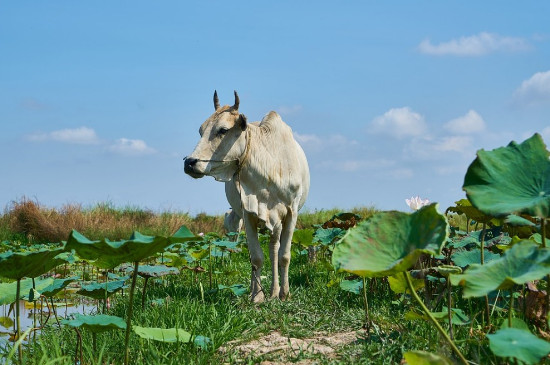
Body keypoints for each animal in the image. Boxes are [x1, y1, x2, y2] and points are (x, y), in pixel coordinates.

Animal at [184, 91, 310, 302]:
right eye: (201, 130)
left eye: (223, 130)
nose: (190, 163)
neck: (269, 167)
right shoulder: (249, 213)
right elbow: (256, 257)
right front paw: (257, 296)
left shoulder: (291, 213)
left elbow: (284, 256)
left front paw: (284, 293)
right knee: (262, 253)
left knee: (274, 250)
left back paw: (275, 291)